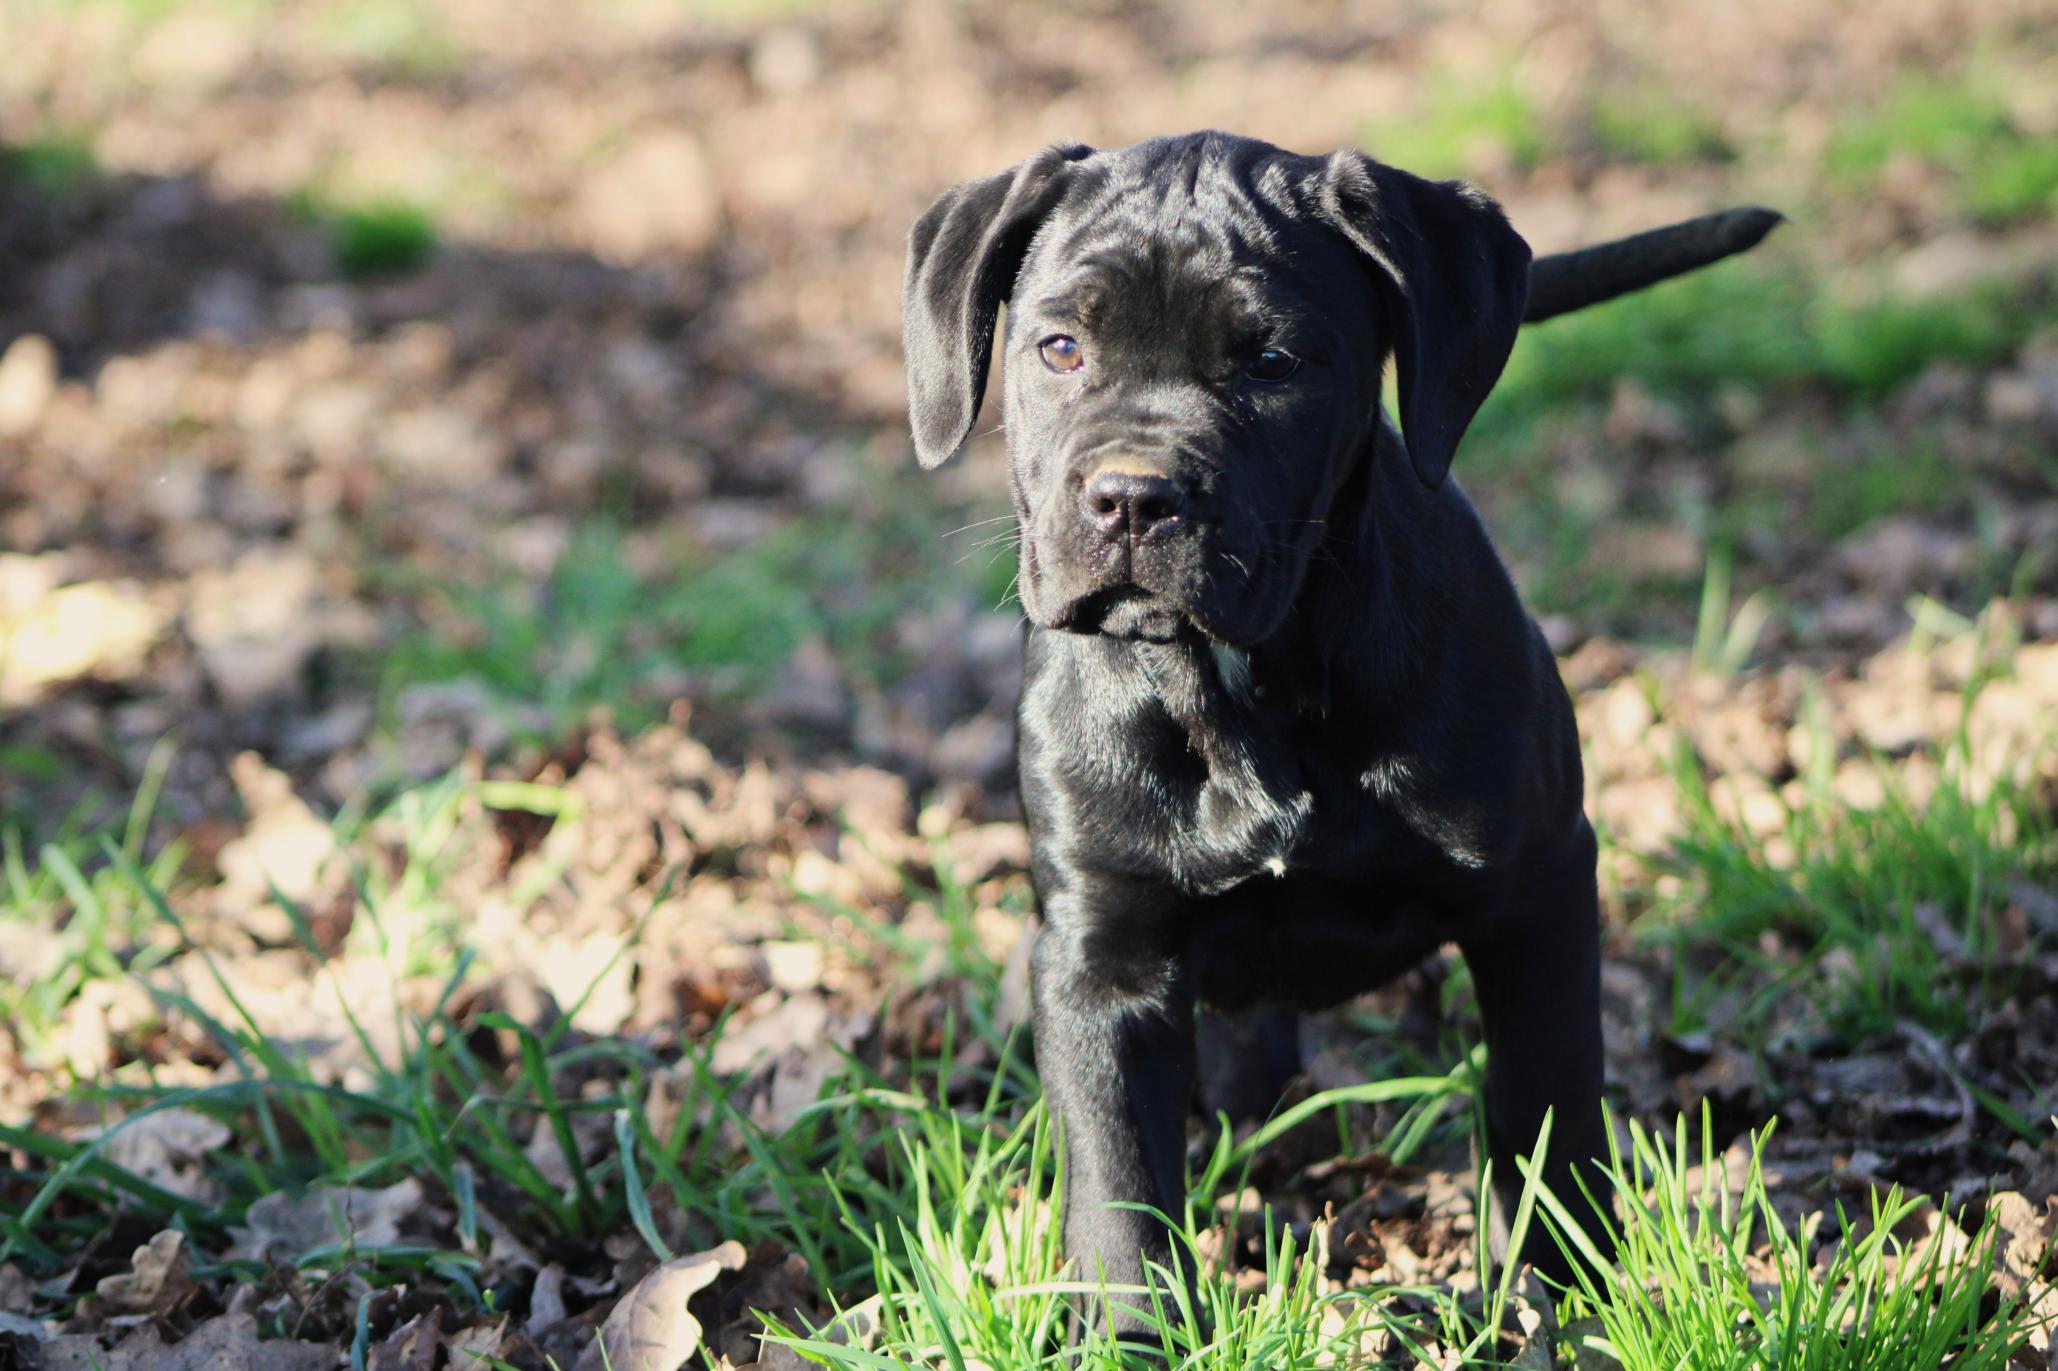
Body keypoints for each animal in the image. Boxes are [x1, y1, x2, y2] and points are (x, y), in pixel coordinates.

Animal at [901, 130, 1786, 1325]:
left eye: (1274, 364)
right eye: (1059, 346)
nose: (1132, 497)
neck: (1244, 685)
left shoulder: (1538, 886)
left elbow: (1544, 1106)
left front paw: (1559, 1296)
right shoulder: (1100, 957)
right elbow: (1121, 1185)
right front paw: (1136, 1329)